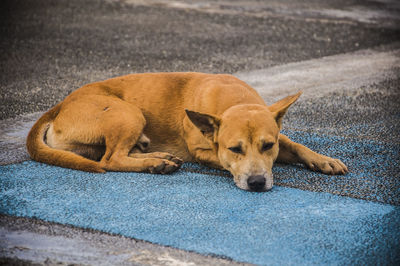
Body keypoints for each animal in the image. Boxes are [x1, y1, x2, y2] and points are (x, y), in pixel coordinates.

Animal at [27, 72, 346, 191]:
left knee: (115, 153)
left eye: (268, 146)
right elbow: (222, 161)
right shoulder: (204, 151)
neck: (234, 100)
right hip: (128, 113)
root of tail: (58, 106)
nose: (256, 183)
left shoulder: (276, 136)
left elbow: (295, 145)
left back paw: (158, 157)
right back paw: (156, 163)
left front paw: (324, 160)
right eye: (234, 149)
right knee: (110, 159)